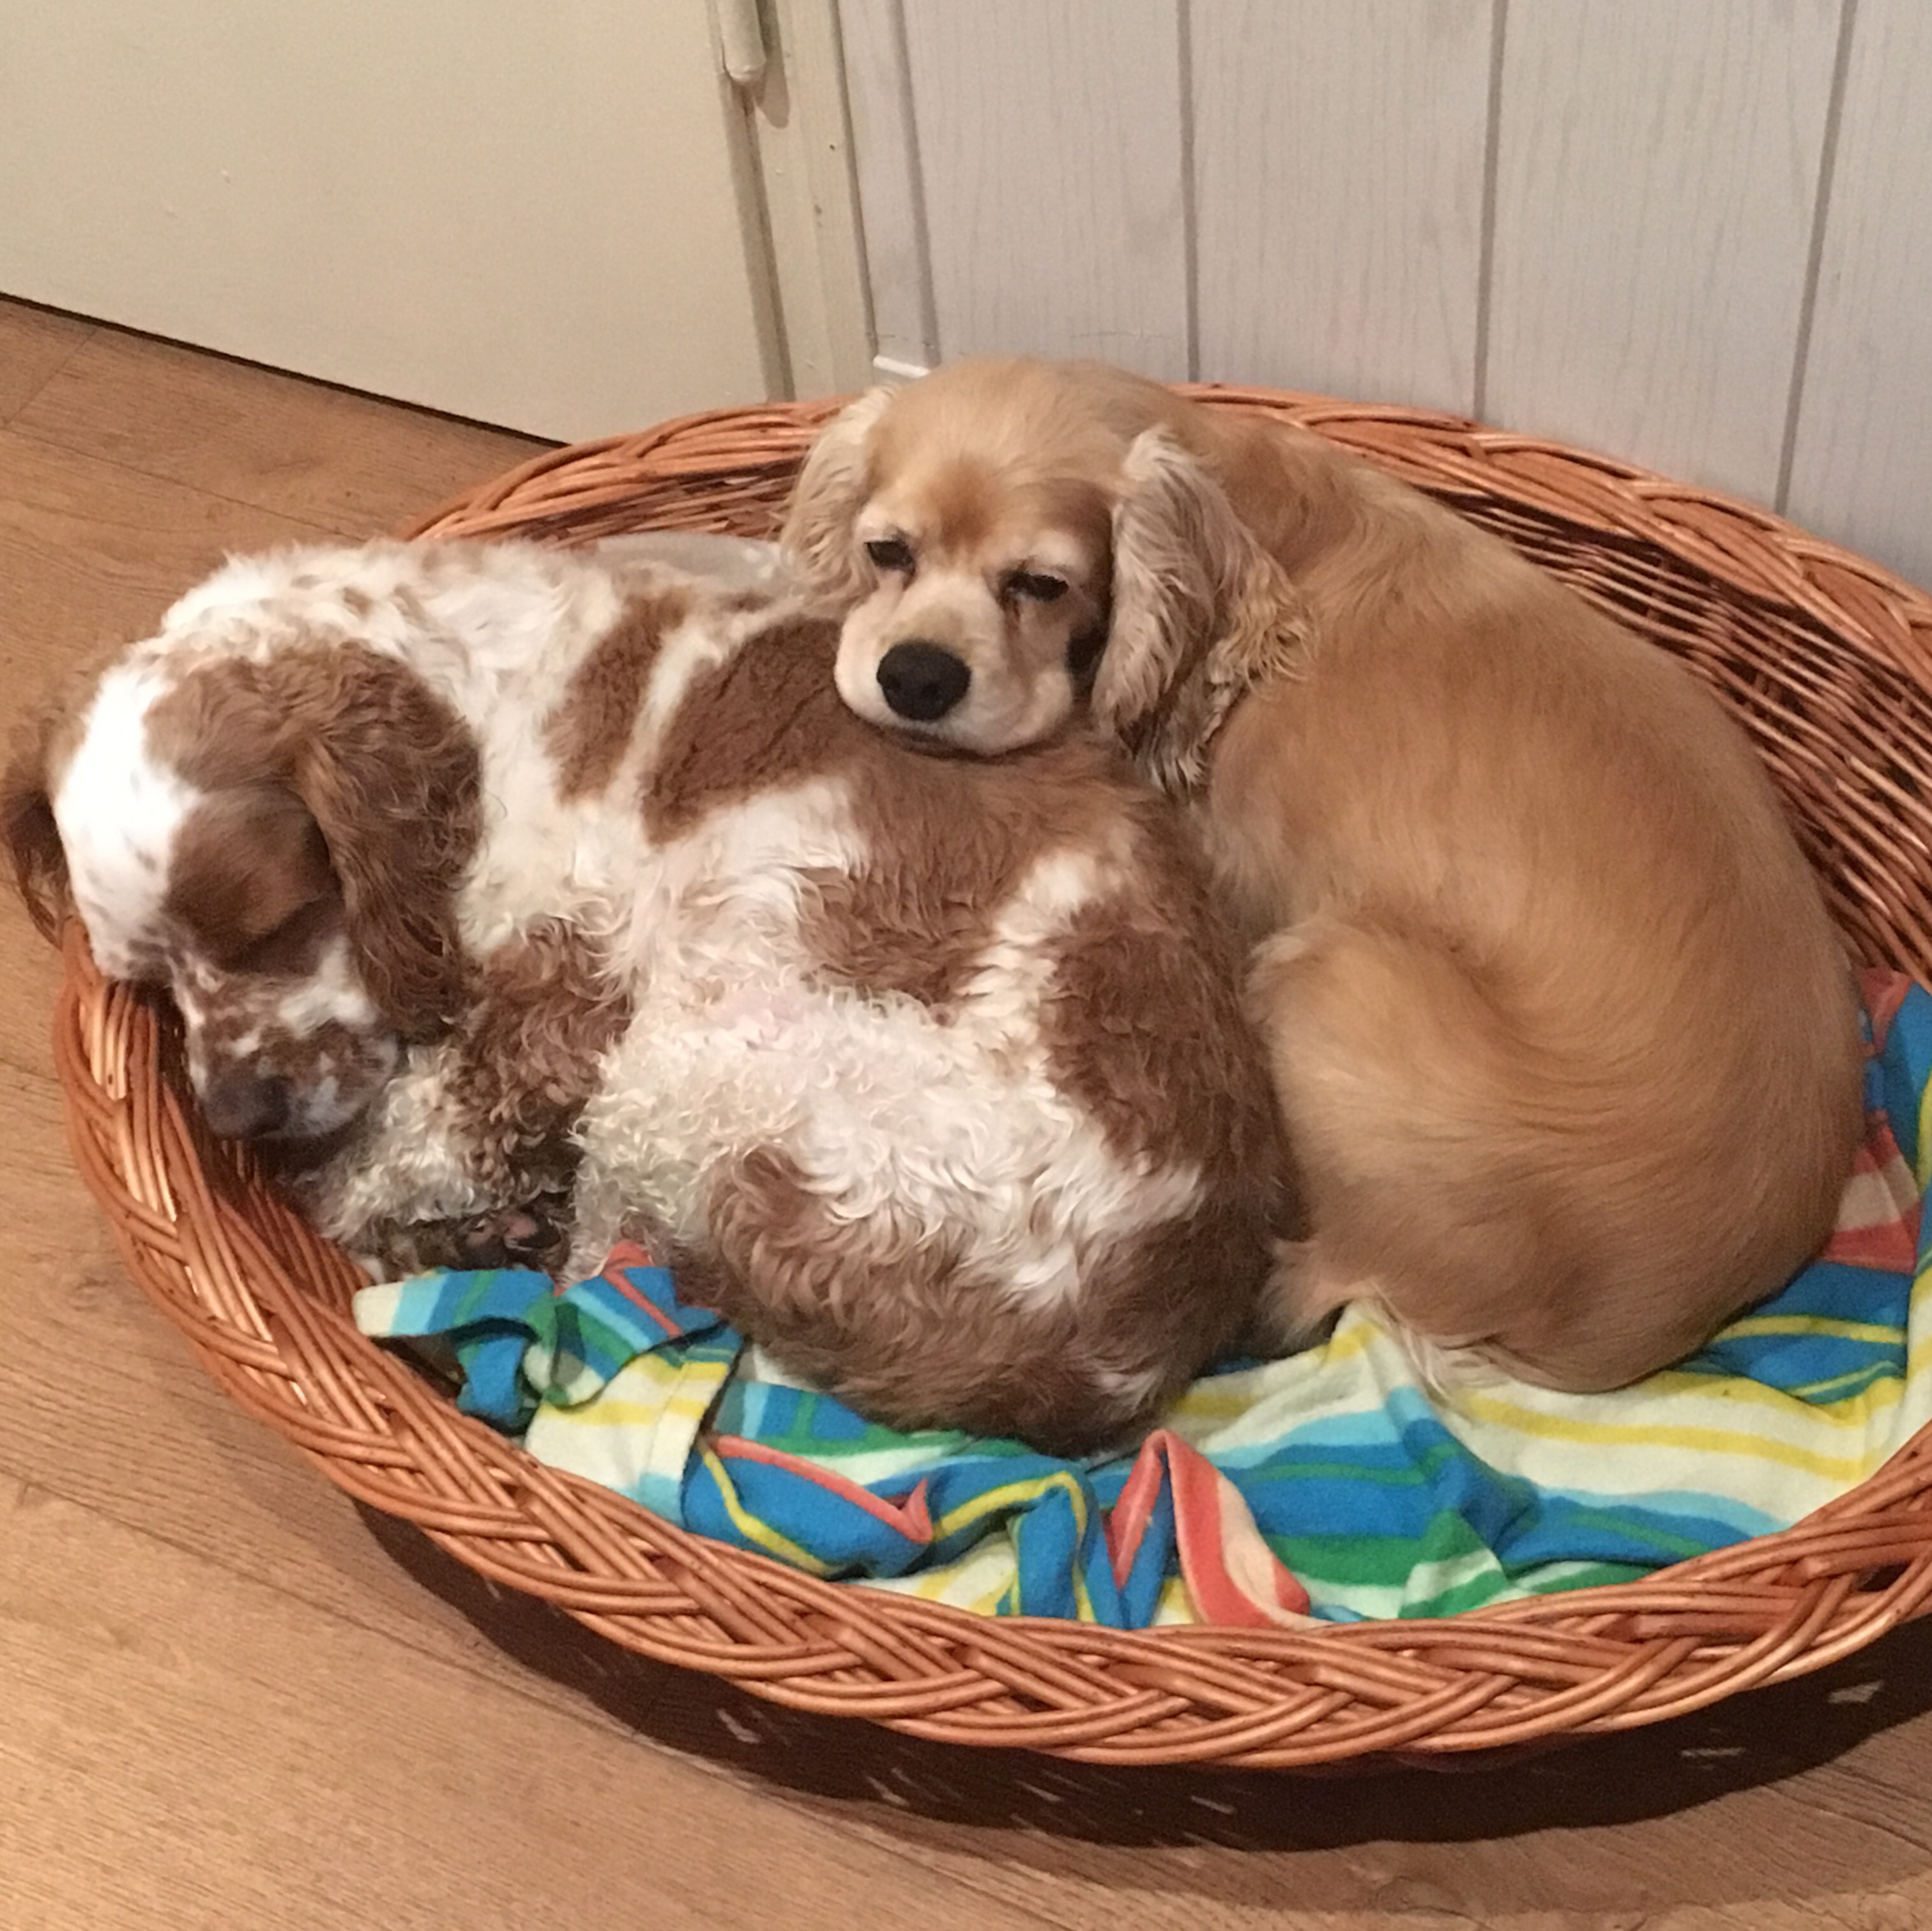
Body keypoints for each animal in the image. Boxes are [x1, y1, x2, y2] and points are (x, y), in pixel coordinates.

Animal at [4, 533, 1291, 1454]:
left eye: (276, 924)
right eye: (146, 976)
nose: (238, 1117)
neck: (463, 704)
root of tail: (1119, 1355)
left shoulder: (563, 991)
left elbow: (380, 1167)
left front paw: (375, 1194)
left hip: (691, 1074)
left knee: (596, 1258)